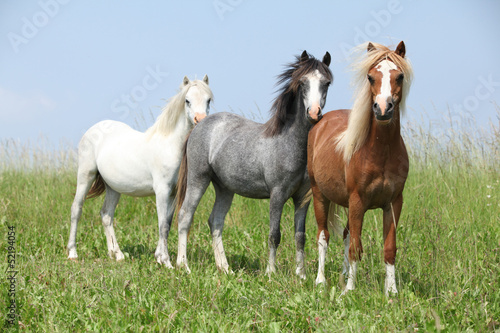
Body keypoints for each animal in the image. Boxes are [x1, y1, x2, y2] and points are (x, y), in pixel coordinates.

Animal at [67, 74, 212, 266]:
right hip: (85, 176)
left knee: (106, 215)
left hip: (113, 187)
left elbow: (167, 223)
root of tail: (95, 129)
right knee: (76, 209)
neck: (169, 145)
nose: (200, 120)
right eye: (187, 100)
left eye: (208, 100)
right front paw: (166, 262)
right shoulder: (162, 191)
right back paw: (73, 253)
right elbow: (162, 224)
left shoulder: (173, 193)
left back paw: (117, 254)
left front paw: (159, 257)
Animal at [176, 50, 332, 276]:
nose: (313, 113)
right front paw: (270, 273)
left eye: (326, 83)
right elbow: (274, 234)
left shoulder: (302, 198)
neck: (289, 142)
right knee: (185, 216)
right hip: (198, 179)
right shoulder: (277, 195)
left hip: (224, 188)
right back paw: (183, 265)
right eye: (302, 82)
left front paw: (301, 275)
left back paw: (225, 268)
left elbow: (300, 236)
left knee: (215, 221)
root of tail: (200, 125)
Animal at [308, 40, 414, 294]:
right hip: (320, 195)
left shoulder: (393, 203)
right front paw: (349, 290)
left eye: (399, 76)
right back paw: (321, 281)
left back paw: (343, 275)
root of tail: (320, 122)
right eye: (370, 77)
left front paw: (392, 292)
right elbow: (356, 247)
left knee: (346, 235)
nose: (383, 109)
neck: (381, 152)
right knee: (323, 236)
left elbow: (389, 249)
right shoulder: (358, 201)